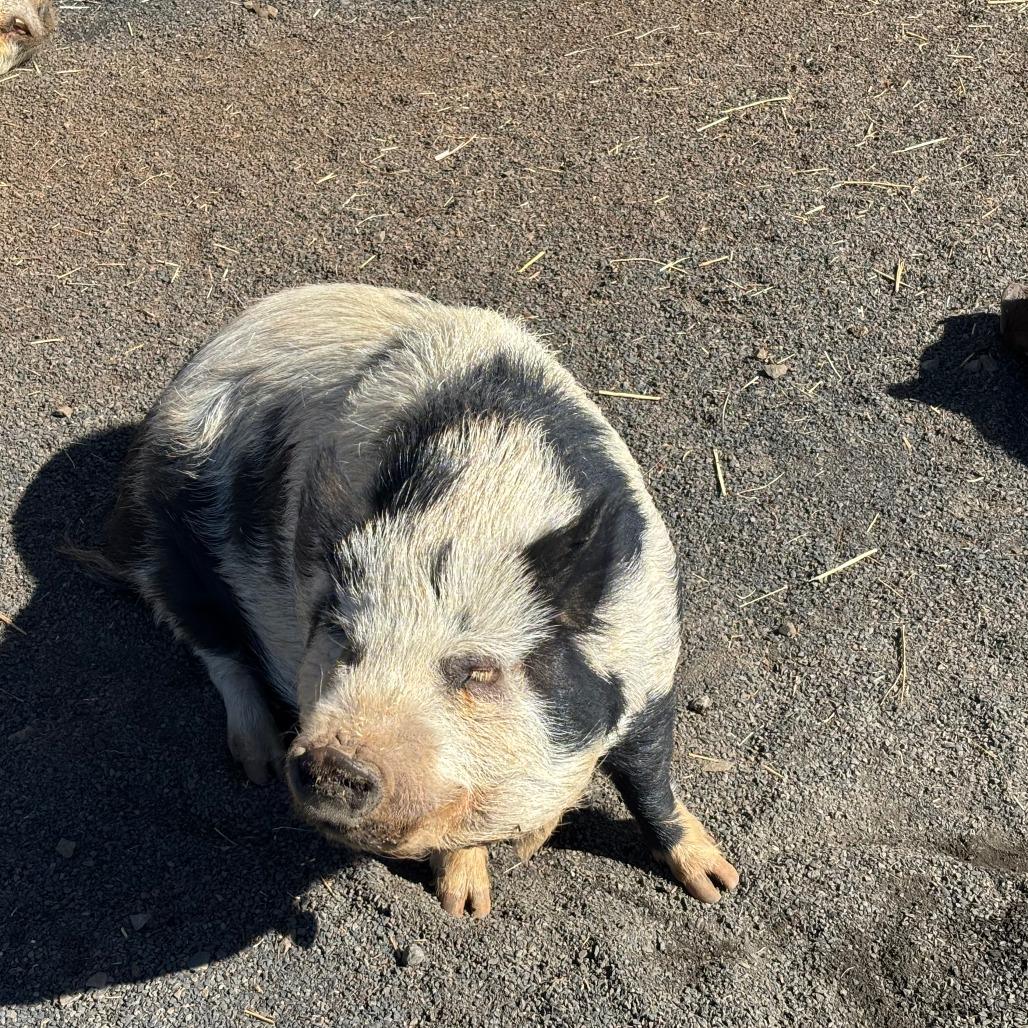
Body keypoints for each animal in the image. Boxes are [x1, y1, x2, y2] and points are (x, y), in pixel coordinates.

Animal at [77, 284, 739, 917]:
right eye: (344, 641)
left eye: (479, 670)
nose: (335, 759)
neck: (472, 515)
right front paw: (466, 909)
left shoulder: (650, 657)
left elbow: (650, 779)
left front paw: (718, 884)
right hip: (161, 540)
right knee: (212, 646)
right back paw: (258, 762)